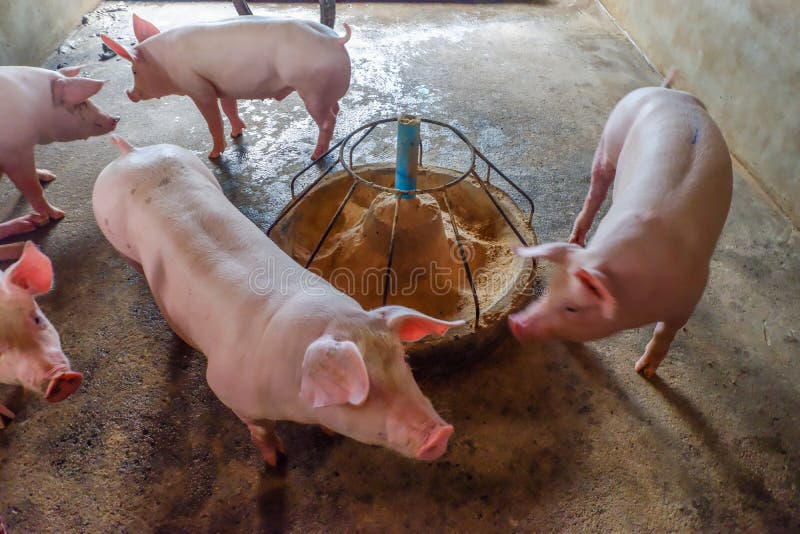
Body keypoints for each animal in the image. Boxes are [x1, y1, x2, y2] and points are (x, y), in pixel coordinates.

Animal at [0, 65, 119, 239]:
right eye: (83, 103)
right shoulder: (15, 152)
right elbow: (33, 188)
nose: (117, 118)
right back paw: (31, 223)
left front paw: (49, 176)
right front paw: (58, 215)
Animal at [92, 136, 462, 466]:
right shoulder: (226, 387)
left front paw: (329, 435)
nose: (441, 434)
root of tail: (131, 152)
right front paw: (276, 462)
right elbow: (261, 430)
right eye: (365, 389)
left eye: (403, 362)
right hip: (115, 234)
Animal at [100, 13, 350, 160]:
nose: (129, 93)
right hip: (324, 90)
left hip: (311, 89)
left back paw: (315, 156)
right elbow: (230, 109)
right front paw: (237, 132)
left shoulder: (198, 88)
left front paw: (213, 156)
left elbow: (213, 121)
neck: (164, 64)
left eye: (134, 71)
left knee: (327, 120)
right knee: (335, 108)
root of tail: (336, 40)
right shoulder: (223, 87)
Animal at [512, 73, 732, 378]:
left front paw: (643, 371)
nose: (514, 322)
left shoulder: (691, 294)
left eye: (572, 308)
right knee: (596, 191)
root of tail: (666, 92)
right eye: (551, 288)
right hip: (609, 138)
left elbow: (665, 332)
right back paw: (574, 241)